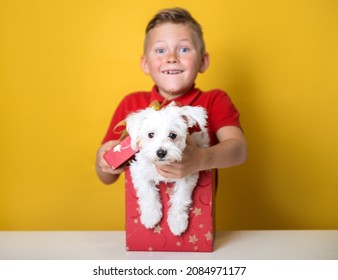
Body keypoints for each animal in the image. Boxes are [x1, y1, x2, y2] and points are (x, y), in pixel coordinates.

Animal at [126, 103, 209, 236]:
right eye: (150, 134)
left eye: (173, 135)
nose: (161, 152)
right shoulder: (139, 170)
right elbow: (147, 191)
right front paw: (150, 215)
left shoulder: (187, 174)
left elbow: (180, 198)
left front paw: (177, 222)